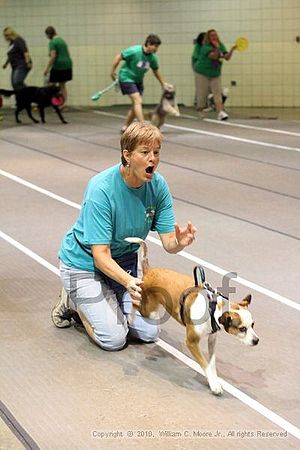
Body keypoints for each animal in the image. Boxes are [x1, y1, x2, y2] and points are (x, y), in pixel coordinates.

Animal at [125, 237, 258, 396]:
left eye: (253, 325)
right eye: (242, 329)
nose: (256, 340)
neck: (213, 309)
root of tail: (150, 270)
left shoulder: (212, 340)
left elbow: (211, 363)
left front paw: (214, 378)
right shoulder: (191, 342)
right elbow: (204, 364)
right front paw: (214, 384)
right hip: (148, 310)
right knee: (135, 303)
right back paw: (130, 317)